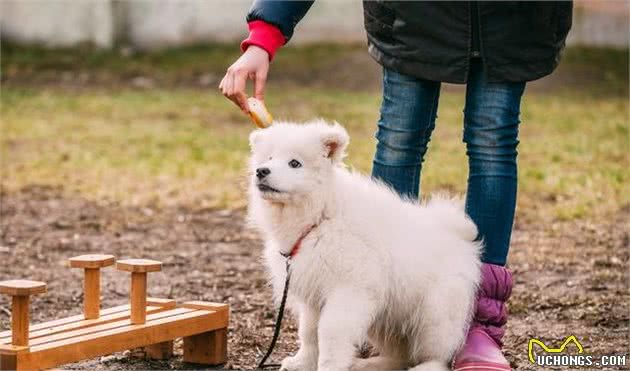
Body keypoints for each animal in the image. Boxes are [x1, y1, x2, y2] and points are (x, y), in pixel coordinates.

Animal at [248, 120, 484, 371]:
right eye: (268, 158)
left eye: (295, 163)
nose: (261, 171)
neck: (322, 216)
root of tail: (458, 235)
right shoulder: (313, 294)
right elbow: (309, 332)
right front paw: (302, 362)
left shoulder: (349, 290)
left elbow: (330, 332)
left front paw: (329, 365)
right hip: (386, 316)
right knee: (401, 355)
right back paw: (369, 364)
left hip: (435, 315)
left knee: (438, 355)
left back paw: (423, 367)